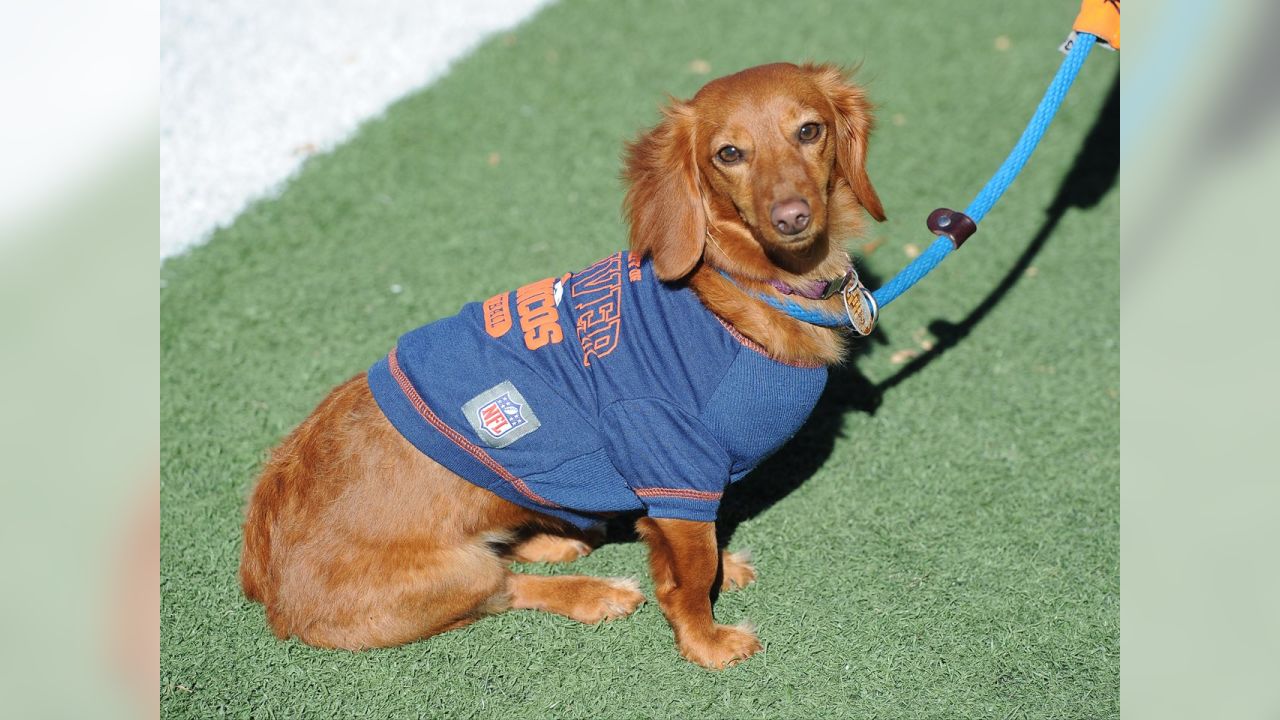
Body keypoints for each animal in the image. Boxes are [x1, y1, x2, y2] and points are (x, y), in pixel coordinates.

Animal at [238, 63, 880, 666]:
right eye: (729, 153)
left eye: (810, 130)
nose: (793, 216)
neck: (728, 291)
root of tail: (267, 587)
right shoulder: (674, 468)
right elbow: (690, 577)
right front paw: (707, 644)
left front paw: (724, 576)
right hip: (459, 572)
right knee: (505, 589)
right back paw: (594, 592)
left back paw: (552, 541)